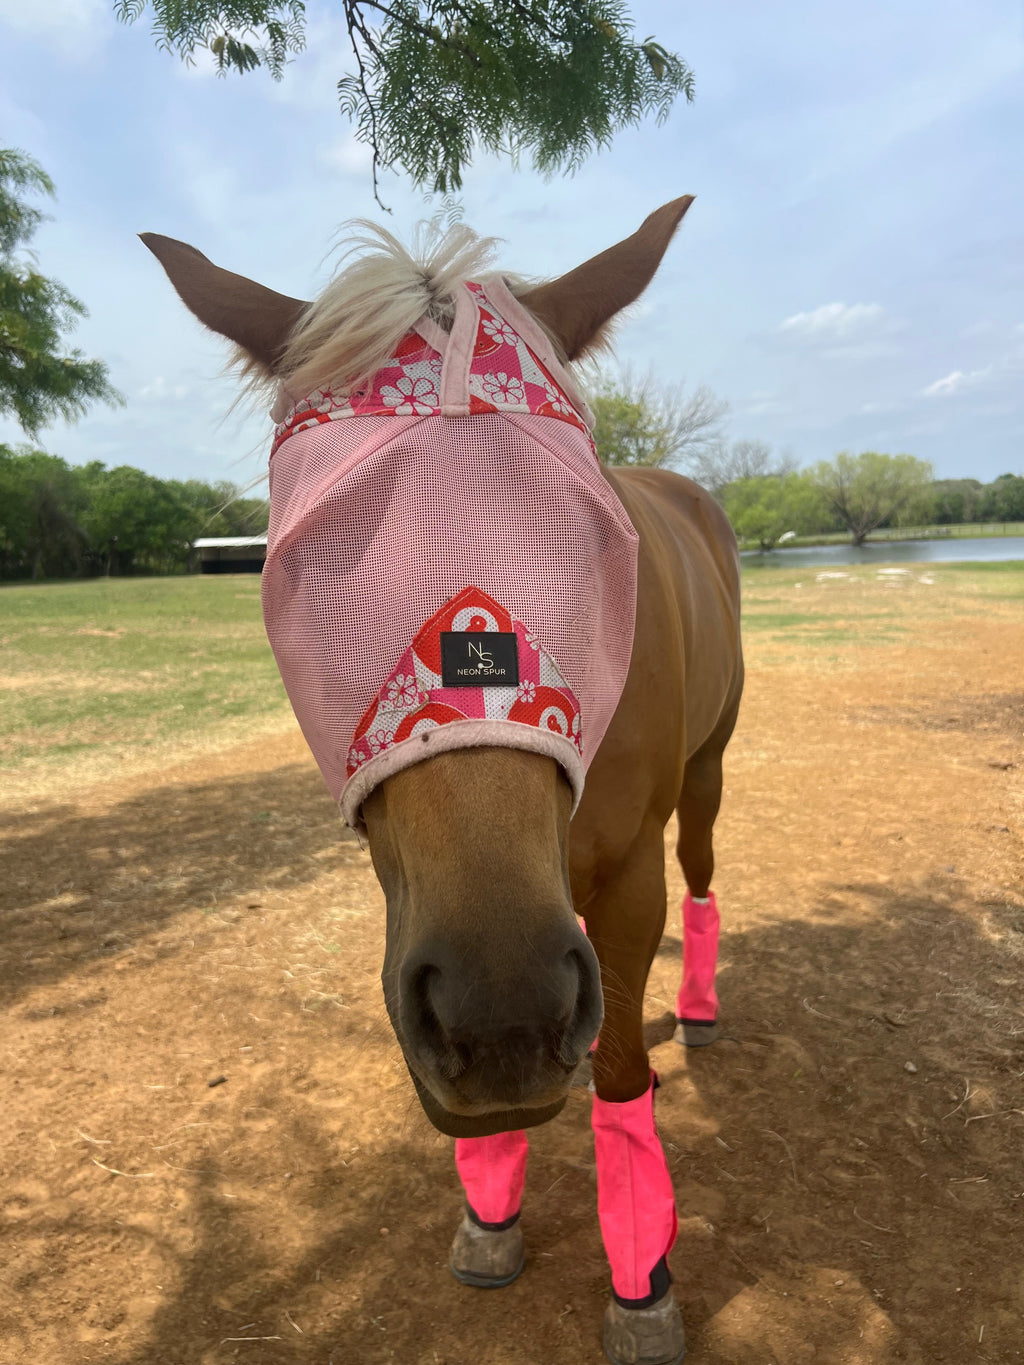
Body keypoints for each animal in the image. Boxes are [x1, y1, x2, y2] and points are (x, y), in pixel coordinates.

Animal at [143, 197, 743, 1365]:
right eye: (303, 557)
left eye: (596, 542)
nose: (499, 1013)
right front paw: (491, 1209)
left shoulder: (623, 882)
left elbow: (619, 1080)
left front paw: (642, 1281)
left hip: (705, 776)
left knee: (701, 869)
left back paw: (692, 1007)